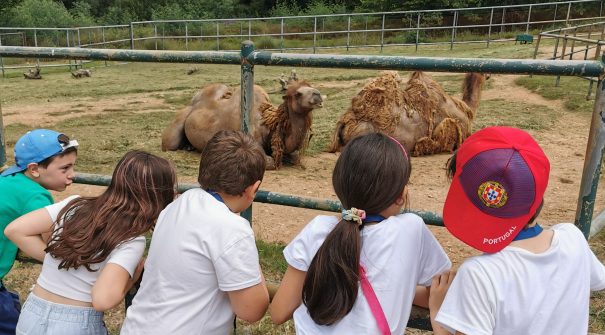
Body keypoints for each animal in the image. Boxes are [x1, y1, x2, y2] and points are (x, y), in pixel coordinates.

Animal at [159, 80, 320, 169]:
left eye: (311, 87)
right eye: (298, 94)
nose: (317, 94)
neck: (269, 124)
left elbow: (295, 157)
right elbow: (270, 162)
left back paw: (190, 147)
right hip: (177, 125)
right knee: (169, 143)